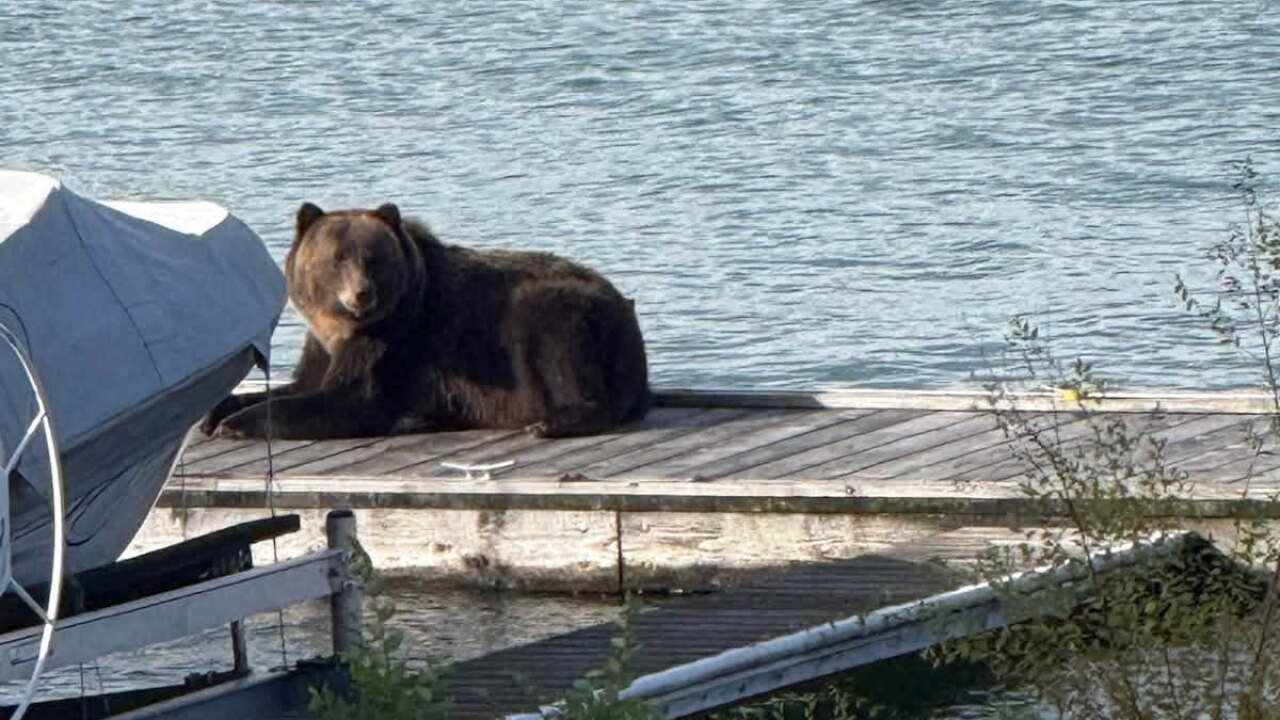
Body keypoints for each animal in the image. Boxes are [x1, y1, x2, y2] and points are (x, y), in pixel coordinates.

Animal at [200, 202, 649, 440]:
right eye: (337, 258)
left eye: (372, 258)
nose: (362, 294)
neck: (342, 327)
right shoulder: (323, 345)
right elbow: (302, 384)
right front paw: (218, 412)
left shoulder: (395, 340)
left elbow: (349, 399)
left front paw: (236, 424)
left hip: (562, 315)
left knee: (558, 350)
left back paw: (550, 422)